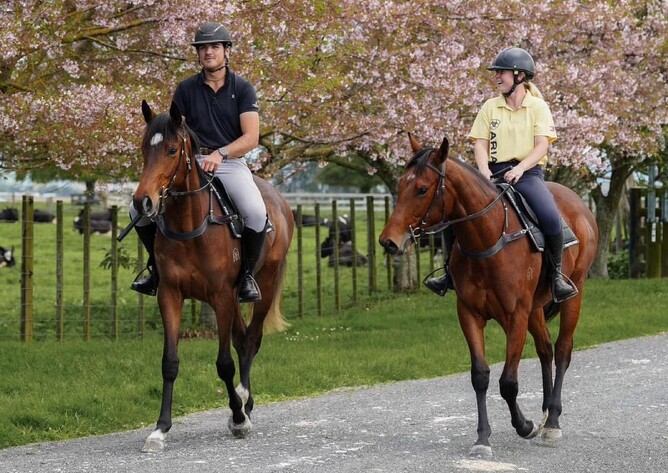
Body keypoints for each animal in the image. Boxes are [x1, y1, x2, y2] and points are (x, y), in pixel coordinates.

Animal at [132, 100, 294, 452]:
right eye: (144, 149)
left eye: (172, 149)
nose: (143, 201)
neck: (190, 225)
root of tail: (278, 199)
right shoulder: (171, 295)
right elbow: (169, 362)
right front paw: (160, 429)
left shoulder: (221, 295)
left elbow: (224, 364)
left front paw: (238, 419)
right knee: (241, 339)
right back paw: (244, 402)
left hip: (263, 284)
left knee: (251, 340)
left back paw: (244, 403)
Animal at [379, 135, 598, 459]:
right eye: (399, 186)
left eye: (422, 189)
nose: (389, 242)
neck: (490, 237)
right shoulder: (470, 314)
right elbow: (480, 376)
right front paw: (482, 439)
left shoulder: (515, 316)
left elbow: (508, 382)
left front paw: (524, 426)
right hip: (536, 309)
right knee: (545, 349)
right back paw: (546, 410)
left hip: (573, 296)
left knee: (562, 350)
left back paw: (552, 422)